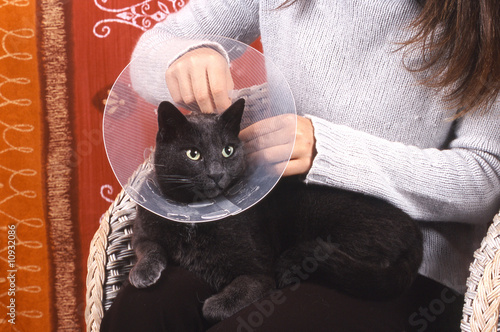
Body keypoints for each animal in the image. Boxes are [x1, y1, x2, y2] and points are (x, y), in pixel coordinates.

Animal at [129, 98, 422, 322]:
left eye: (227, 150)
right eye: (193, 154)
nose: (216, 174)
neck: (196, 216)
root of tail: (415, 231)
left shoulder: (259, 273)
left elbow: (219, 305)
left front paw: (214, 303)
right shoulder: (141, 231)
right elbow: (148, 247)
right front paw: (141, 273)